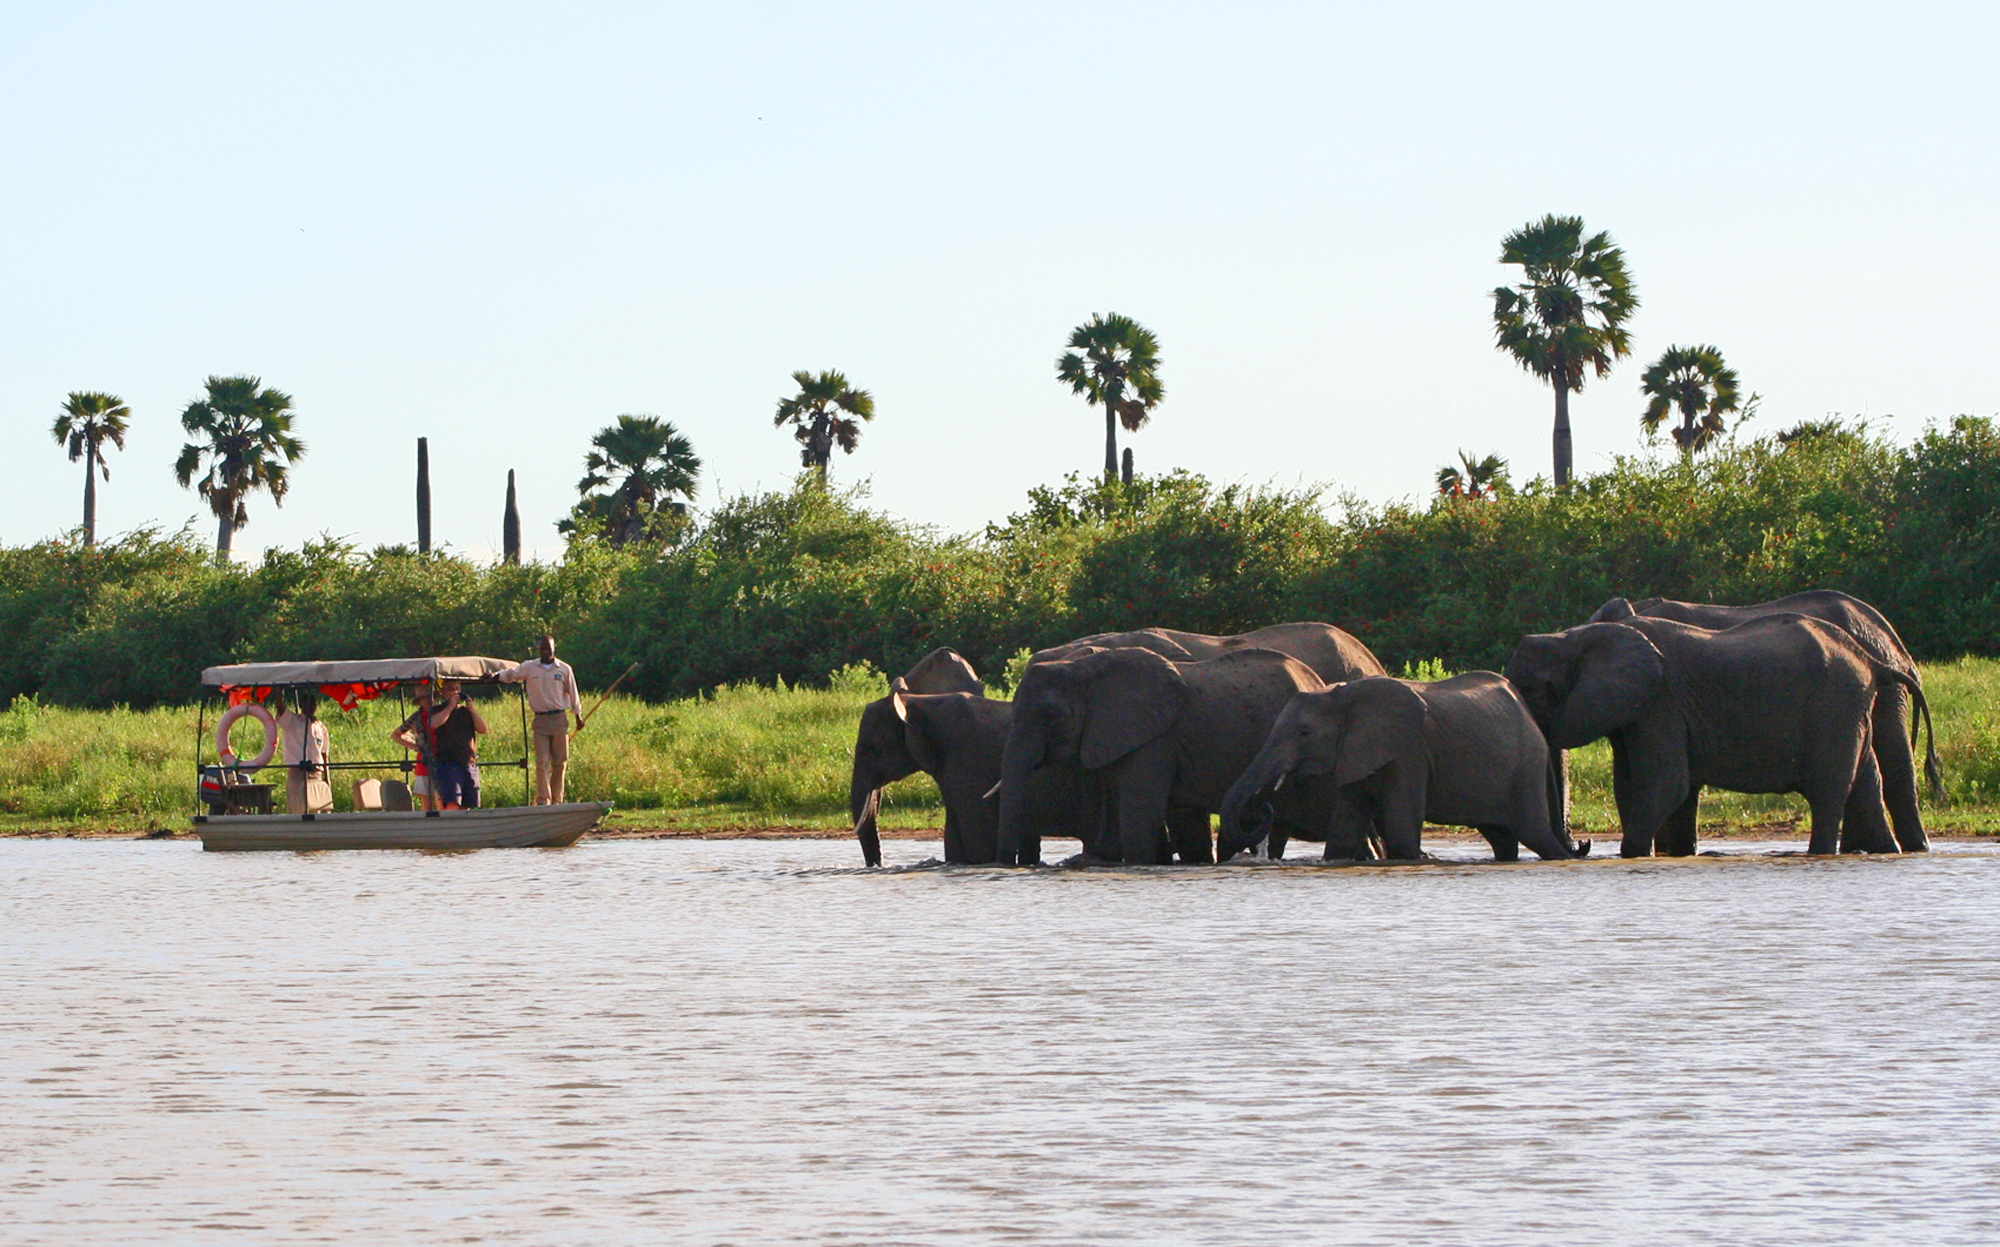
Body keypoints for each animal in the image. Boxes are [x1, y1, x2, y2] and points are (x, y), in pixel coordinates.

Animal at [996, 646, 1327, 866]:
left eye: (1052, 716)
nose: (1011, 863)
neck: (1083, 668)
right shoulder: (1113, 736)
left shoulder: (1154, 740)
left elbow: (1138, 816)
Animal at [1217, 674, 1581, 863]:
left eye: (1304, 733)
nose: (1265, 806)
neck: (1342, 696)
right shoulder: (1356, 751)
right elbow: (1344, 830)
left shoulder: (1410, 752)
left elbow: (1401, 829)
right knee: (1502, 836)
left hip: (1526, 764)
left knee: (1534, 833)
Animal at [1506, 615, 1926, 857]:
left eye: (1534, 690)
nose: (1584, 845)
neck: (1574, 636)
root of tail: (1872, 660)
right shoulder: (1638, 707)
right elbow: (1631, 783)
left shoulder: (1660, 700)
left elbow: (1665, 782)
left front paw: (1634, 854)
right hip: (1850, 709)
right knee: (1866, 784)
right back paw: (1887, 852)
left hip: (1833, 708)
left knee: (1827, 791)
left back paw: (1819, 854)